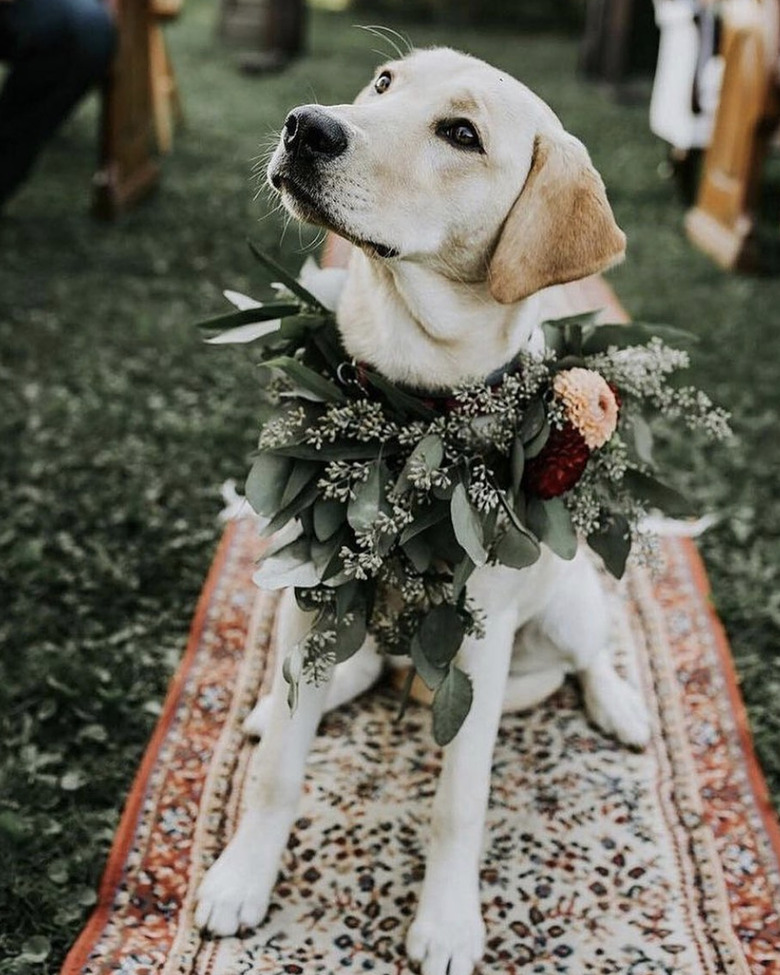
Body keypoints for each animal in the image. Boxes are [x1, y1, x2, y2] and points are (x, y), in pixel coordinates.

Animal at [197, 47, 652, 975]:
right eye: (382, 84)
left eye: (462, 135)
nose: (306, 125)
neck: (412, 410)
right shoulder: (317, 587)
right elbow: (278, 775)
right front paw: (243, 877)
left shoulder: (478, 637)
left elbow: (458, 803)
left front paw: (446, 922)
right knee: (347, 671)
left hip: (570, 604)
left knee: (591, 655)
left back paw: (620, 704)